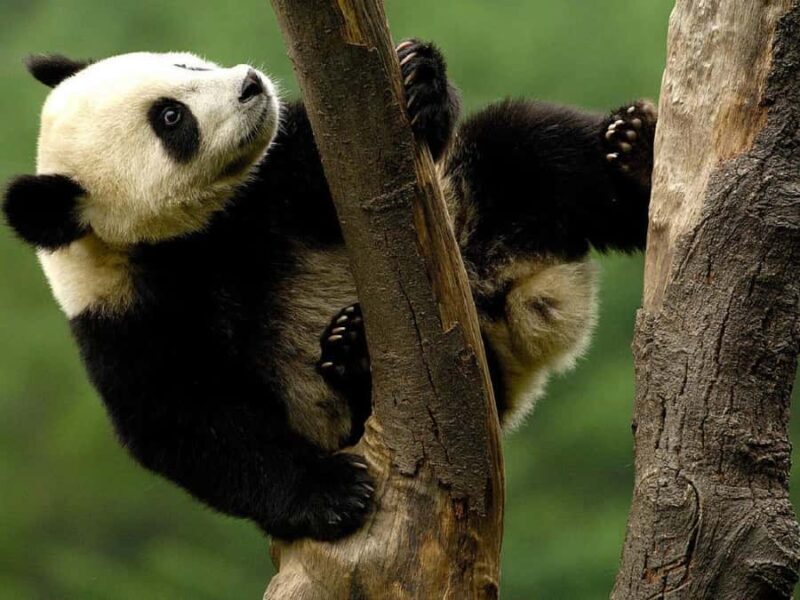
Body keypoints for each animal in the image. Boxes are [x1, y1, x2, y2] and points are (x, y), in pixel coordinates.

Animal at [2, 41, 656, 542]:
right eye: (170, 119)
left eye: (183, 65)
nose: (250, 85)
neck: (200, 232)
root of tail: (519, 302)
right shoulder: (129, 315)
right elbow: (185, 422)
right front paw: (333, 494)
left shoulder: (278, 173)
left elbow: (343, 164)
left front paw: (418, 79)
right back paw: (354, 353)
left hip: (468, 202)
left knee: (530, 147)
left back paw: (636, 158)